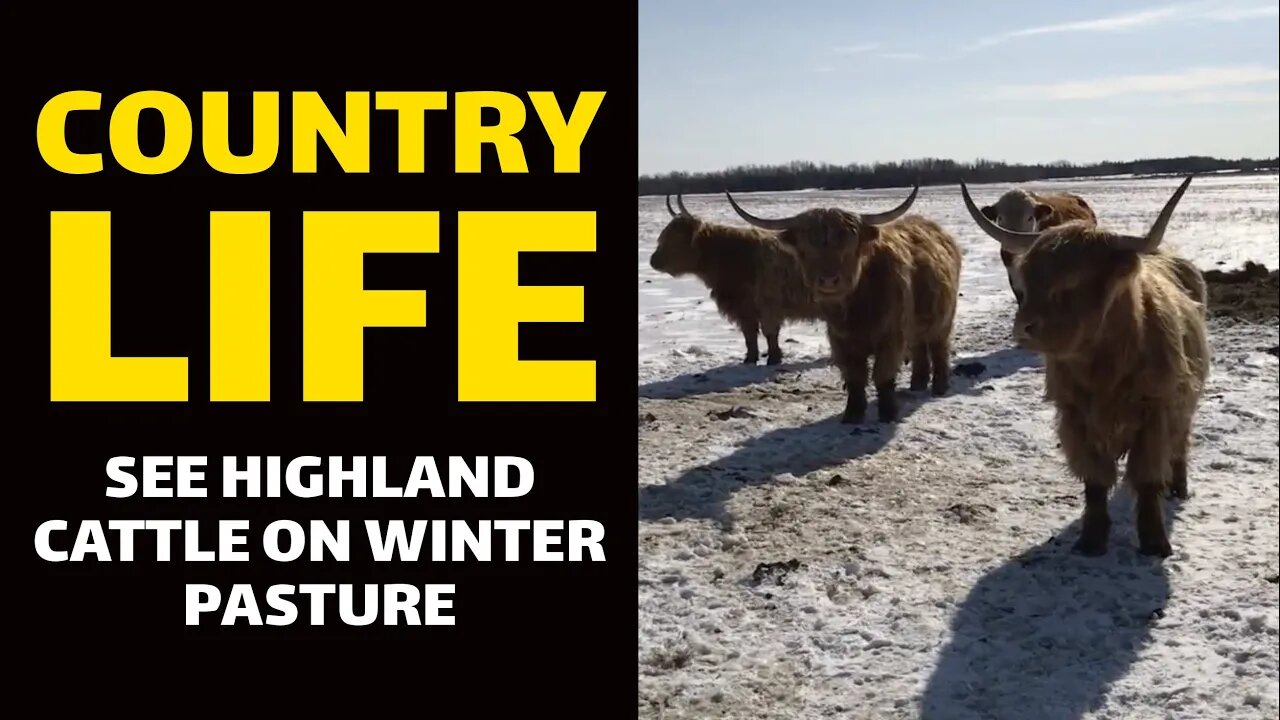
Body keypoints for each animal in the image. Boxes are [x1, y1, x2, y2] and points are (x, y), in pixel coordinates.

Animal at [650, 193, 819, 363]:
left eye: (677, 236)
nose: (653, 261)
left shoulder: (769, 305)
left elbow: (770, 333)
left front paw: (773, 358)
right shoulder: (742, 308)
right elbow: (749, 335)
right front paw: (750, 359)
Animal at [727, 181, 962, 422]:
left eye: (849, 247)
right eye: (806, 249)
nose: (829, 280)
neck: (856, 309)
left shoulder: (891, 336)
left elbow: (882, 373)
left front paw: (888, 412)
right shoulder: (840, 340)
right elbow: (854, 375)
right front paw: (852, 413)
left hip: (944, 318)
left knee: (939, 346)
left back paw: (940, 386)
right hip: (916, 326)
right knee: (919, 348)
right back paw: (918, 383)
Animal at [962, 174, 1208, 556]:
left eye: (1073, 281)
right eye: (1028, 279)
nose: (1025, 327)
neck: (1104, 365)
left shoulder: (1157, 412)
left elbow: (1148, 478)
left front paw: (1154, 541)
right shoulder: (1074, 416)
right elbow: (1094, 480)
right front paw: (1091, 538)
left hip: (1185, 401)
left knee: (1180, 441)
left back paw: (1179, 486)